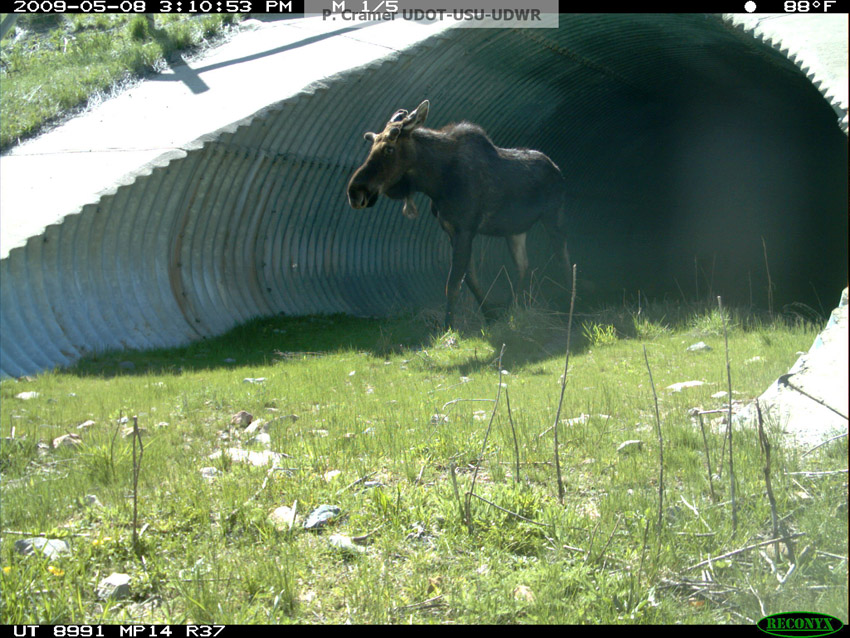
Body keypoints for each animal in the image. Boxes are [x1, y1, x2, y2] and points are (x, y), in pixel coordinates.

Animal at [344, 102, 568, 330]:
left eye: (389, 148)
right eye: (371, 147)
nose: (355, 192)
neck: (435, 181)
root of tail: (557, 169)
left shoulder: (465, 229)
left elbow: (453, 283)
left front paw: (448, 327)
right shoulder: (451, 230)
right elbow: (469, 279)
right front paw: (490, 316)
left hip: (553, 216)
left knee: (563, 258)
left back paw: (569, 307)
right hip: (514, 229)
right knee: (522, 266)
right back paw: (512, 309)